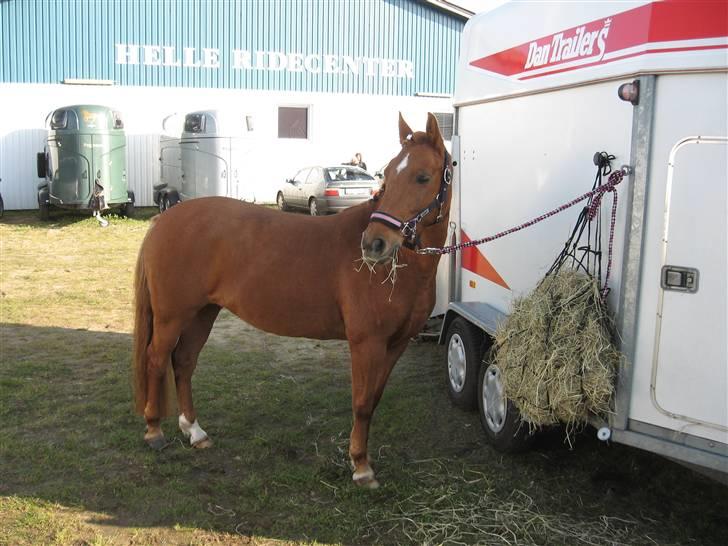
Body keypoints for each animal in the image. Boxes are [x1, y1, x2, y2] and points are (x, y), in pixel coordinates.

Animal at [131, 111, 450, 484]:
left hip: (202, 313)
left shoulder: (396, 344)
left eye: (422, 177)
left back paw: (195, 432)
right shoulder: (366, 343)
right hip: (172, 316)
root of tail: (164, 218)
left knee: (183, 362)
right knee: (156, 359)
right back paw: (154, 432)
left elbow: (374, 400)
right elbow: (361, 403)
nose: (374, 244)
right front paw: (360, 466)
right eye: (386, 175)